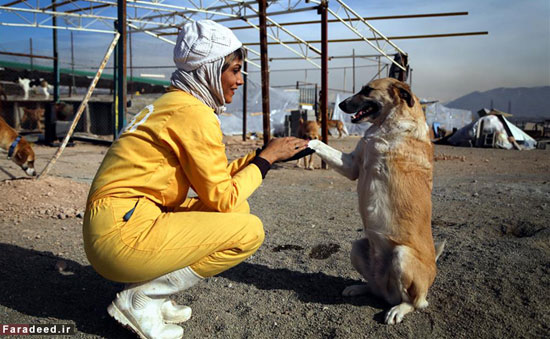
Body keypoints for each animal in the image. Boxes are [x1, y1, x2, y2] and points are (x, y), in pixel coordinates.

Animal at [308, 78, 446, 326]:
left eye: (367, 90)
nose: (341, 105)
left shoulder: (378, 153)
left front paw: (308, 140)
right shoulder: (352, 164)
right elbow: (328, 148)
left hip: (402, 255)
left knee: (417, 302)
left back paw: (398, 309)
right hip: (357, 248)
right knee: (375, 289)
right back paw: (360, 288)